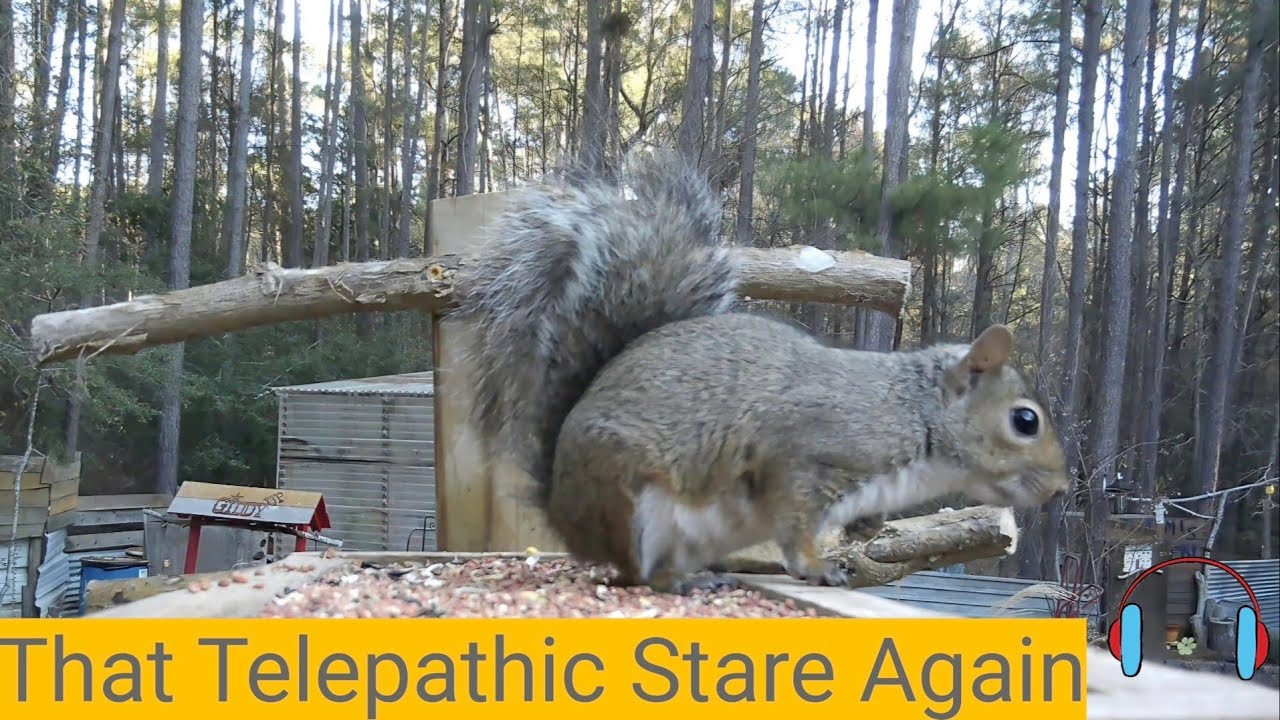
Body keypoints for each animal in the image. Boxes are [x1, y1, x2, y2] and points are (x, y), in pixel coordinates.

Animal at [444, 153, 1071, 595]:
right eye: (1025, 421)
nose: (1062, 487)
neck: (911, 413)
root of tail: (561, 505)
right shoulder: (802, 455)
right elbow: (795, 526)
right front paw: (819, 568)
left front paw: (866, 530)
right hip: (633, 503)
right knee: (638, 573)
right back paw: (684, 581)